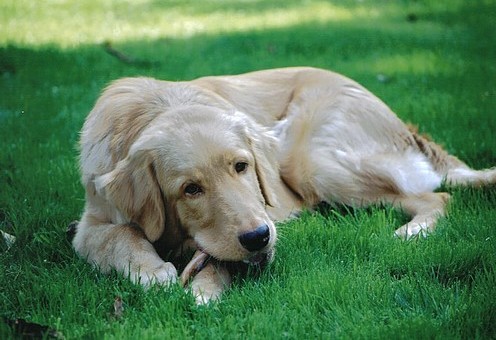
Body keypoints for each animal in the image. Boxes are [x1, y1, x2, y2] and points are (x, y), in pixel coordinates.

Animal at [72, 66, 496, 302]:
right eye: (190, 189)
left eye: (241, 166)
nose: (258, 237)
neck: (155, 107)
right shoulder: (89, 223)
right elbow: (120, 236)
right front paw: (151, 271)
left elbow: (215, 259)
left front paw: (204, 289)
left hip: (310, 161)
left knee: (437, 197)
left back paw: (413, 231)